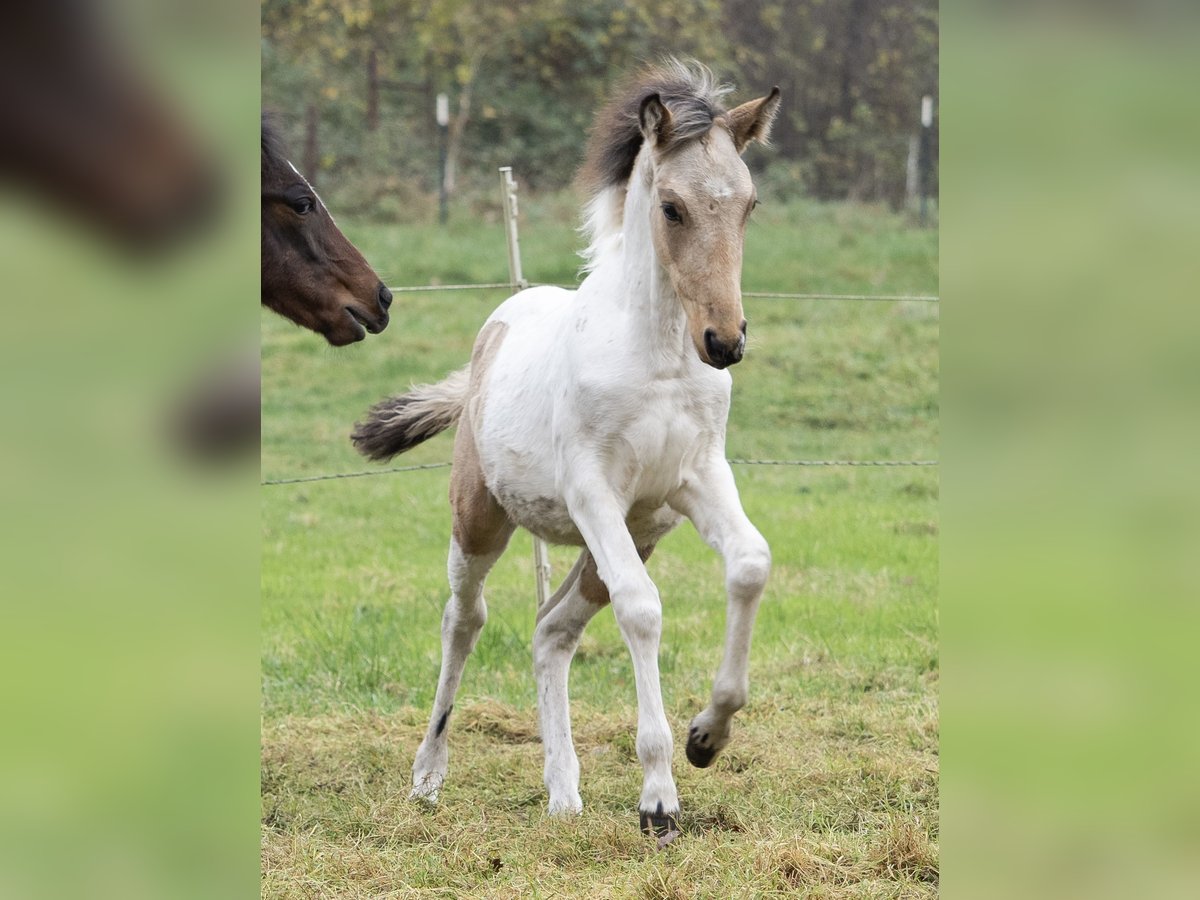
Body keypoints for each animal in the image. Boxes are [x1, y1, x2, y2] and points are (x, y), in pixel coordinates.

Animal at [350, 63, 782, 840]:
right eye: (672, 207)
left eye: (749, 204)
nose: (725, 341)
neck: (659, 354)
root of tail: (495, 331)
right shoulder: (594, 491)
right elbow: (643, 611)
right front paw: (659, 800)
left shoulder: (694, 480)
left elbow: (750, 565)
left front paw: (707, 736)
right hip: (482, 519)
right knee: (465, 621)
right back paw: (428, 776)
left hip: (634, 535)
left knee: (551, 631)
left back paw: (563, 792)